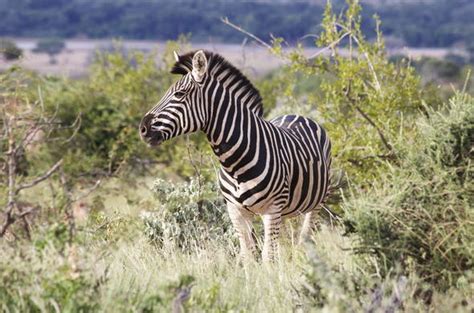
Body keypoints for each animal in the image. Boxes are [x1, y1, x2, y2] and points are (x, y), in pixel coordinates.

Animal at [139, 50, 332, 260]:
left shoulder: (272, 210)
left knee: (304, 239)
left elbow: (267, 257)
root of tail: (298, 115)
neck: (235, 163)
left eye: (179, 94)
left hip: (316, 203)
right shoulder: (235, 211)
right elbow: (248, 255)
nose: (142, 129)